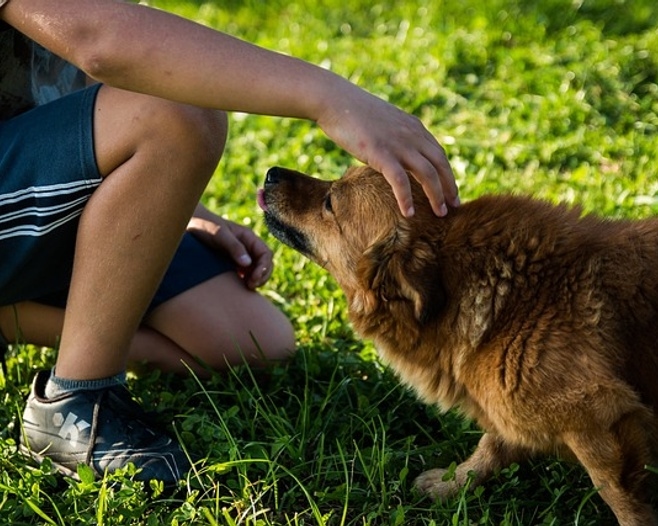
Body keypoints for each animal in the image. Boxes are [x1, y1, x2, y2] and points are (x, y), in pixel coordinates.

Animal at [258, 166, 656, 526]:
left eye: (330, 202)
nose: (271, 173)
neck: (513, 299)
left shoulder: (598, 416)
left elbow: (620, 497)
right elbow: (492, 446)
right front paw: (454, 484)